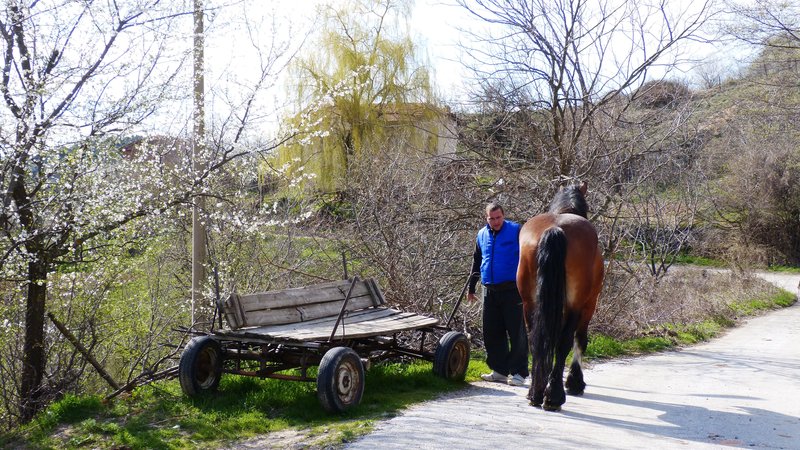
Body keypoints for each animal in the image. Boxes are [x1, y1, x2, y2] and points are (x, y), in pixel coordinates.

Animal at [517, 182, 604, 411]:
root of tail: (555, 229)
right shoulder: (589, 304)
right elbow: (580, 340)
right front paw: (575, 381)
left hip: (529, 303)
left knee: (535, 340)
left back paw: (536, 393)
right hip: (576, 305)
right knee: (564, 342)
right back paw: (554, 396)